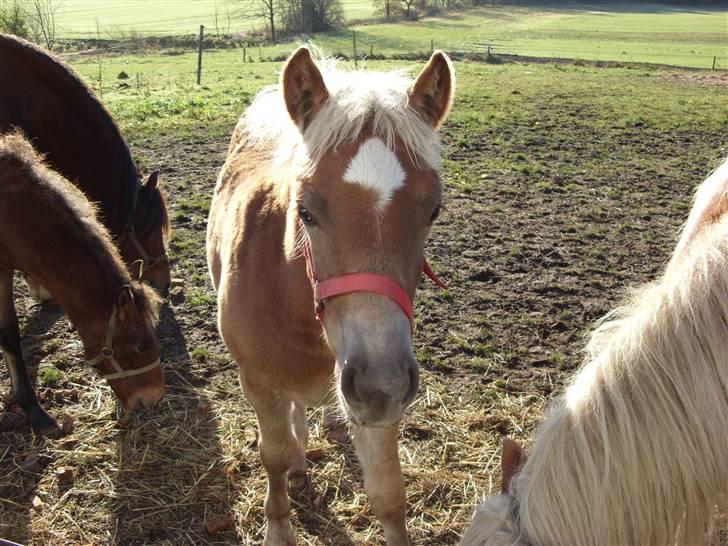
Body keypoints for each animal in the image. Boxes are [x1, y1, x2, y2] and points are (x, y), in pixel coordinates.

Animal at [206, 49, 456, 540]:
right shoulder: (258, 381)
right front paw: (278, 529)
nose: (381, 384)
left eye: (434, 210)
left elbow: (388, 492)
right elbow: (274, 454)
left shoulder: (377, 400)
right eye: (305, 211)